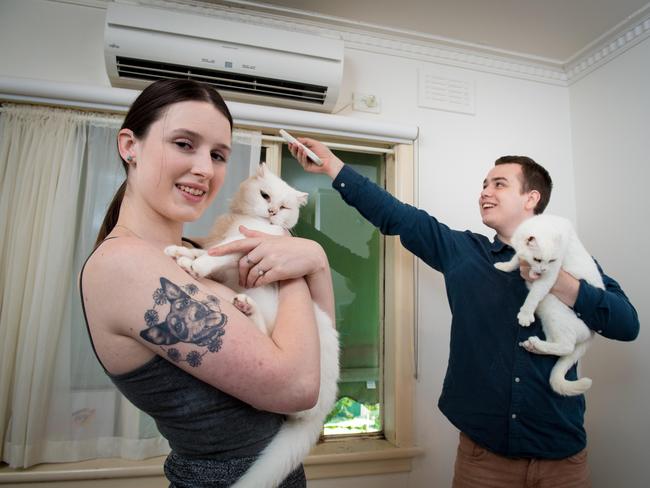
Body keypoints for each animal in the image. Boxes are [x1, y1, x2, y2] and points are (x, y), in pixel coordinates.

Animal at [165, 164, 340, 488]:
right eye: (265, 196)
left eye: (283, 207)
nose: (271, 211)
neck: (241, 221)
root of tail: (322, 410)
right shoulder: (229, 246)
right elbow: (210, 250)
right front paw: (181, 254)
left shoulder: (248, 247)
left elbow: (219, 254)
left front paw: (196, 265)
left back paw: (245, 307)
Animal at [496, 214, 604, 396]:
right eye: (537, 259)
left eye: (552, 260)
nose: (542, 270)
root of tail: (593, 333)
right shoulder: (521, 254)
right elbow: (515, 259)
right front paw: (503, 266)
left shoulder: (550, 276)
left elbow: (533, 296)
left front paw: (525, 315)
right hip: (548, 319)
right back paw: (533, 345)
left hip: (553, 310)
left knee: (567, 346)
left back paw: (537, 343)